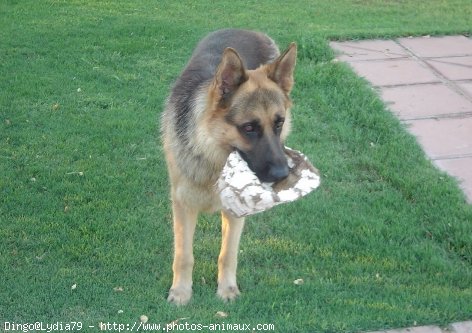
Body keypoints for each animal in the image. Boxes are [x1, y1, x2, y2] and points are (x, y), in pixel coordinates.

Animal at [161, 28, 296, 304]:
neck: (213, 153)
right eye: (249, 127)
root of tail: (248, 30)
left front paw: (227, 289)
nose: (282, 175)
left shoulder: (235, 212)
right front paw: (181, 292)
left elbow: (228, 254)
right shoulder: (183, 204)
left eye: (278, 123)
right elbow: (183, 255)